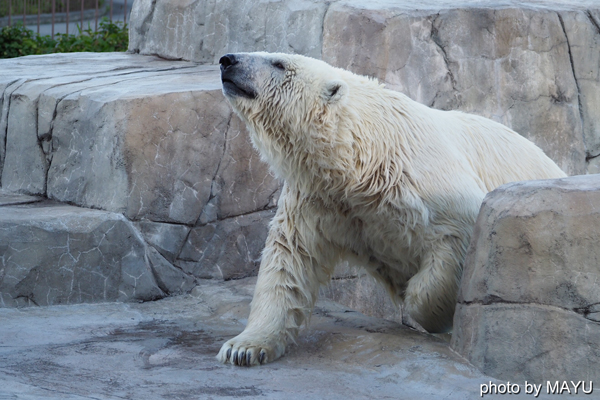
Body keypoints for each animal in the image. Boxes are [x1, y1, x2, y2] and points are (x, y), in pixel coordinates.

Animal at [217, 52, 568, 366]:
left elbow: (457, 240)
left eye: (278, 63)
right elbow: (288, 260)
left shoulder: (424, 183)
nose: (227, 60)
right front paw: (243, 348)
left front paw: (429, 313)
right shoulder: (317, 200)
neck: (364, 152)